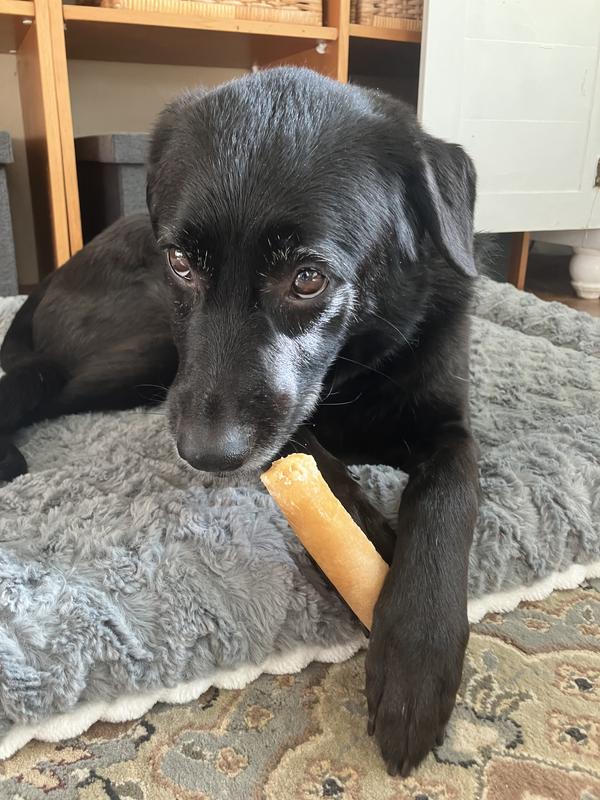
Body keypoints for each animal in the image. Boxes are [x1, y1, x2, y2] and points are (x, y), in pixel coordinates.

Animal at [0, 67, 480, 775]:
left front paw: (418, 650)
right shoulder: (265, 424)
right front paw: (373, 546)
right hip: (144, 349)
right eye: (180, 263)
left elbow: (449, 497)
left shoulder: (450, 427)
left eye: (307, 278)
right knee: (32, 379)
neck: (357, 364)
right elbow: (319, 462)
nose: (204, 455)